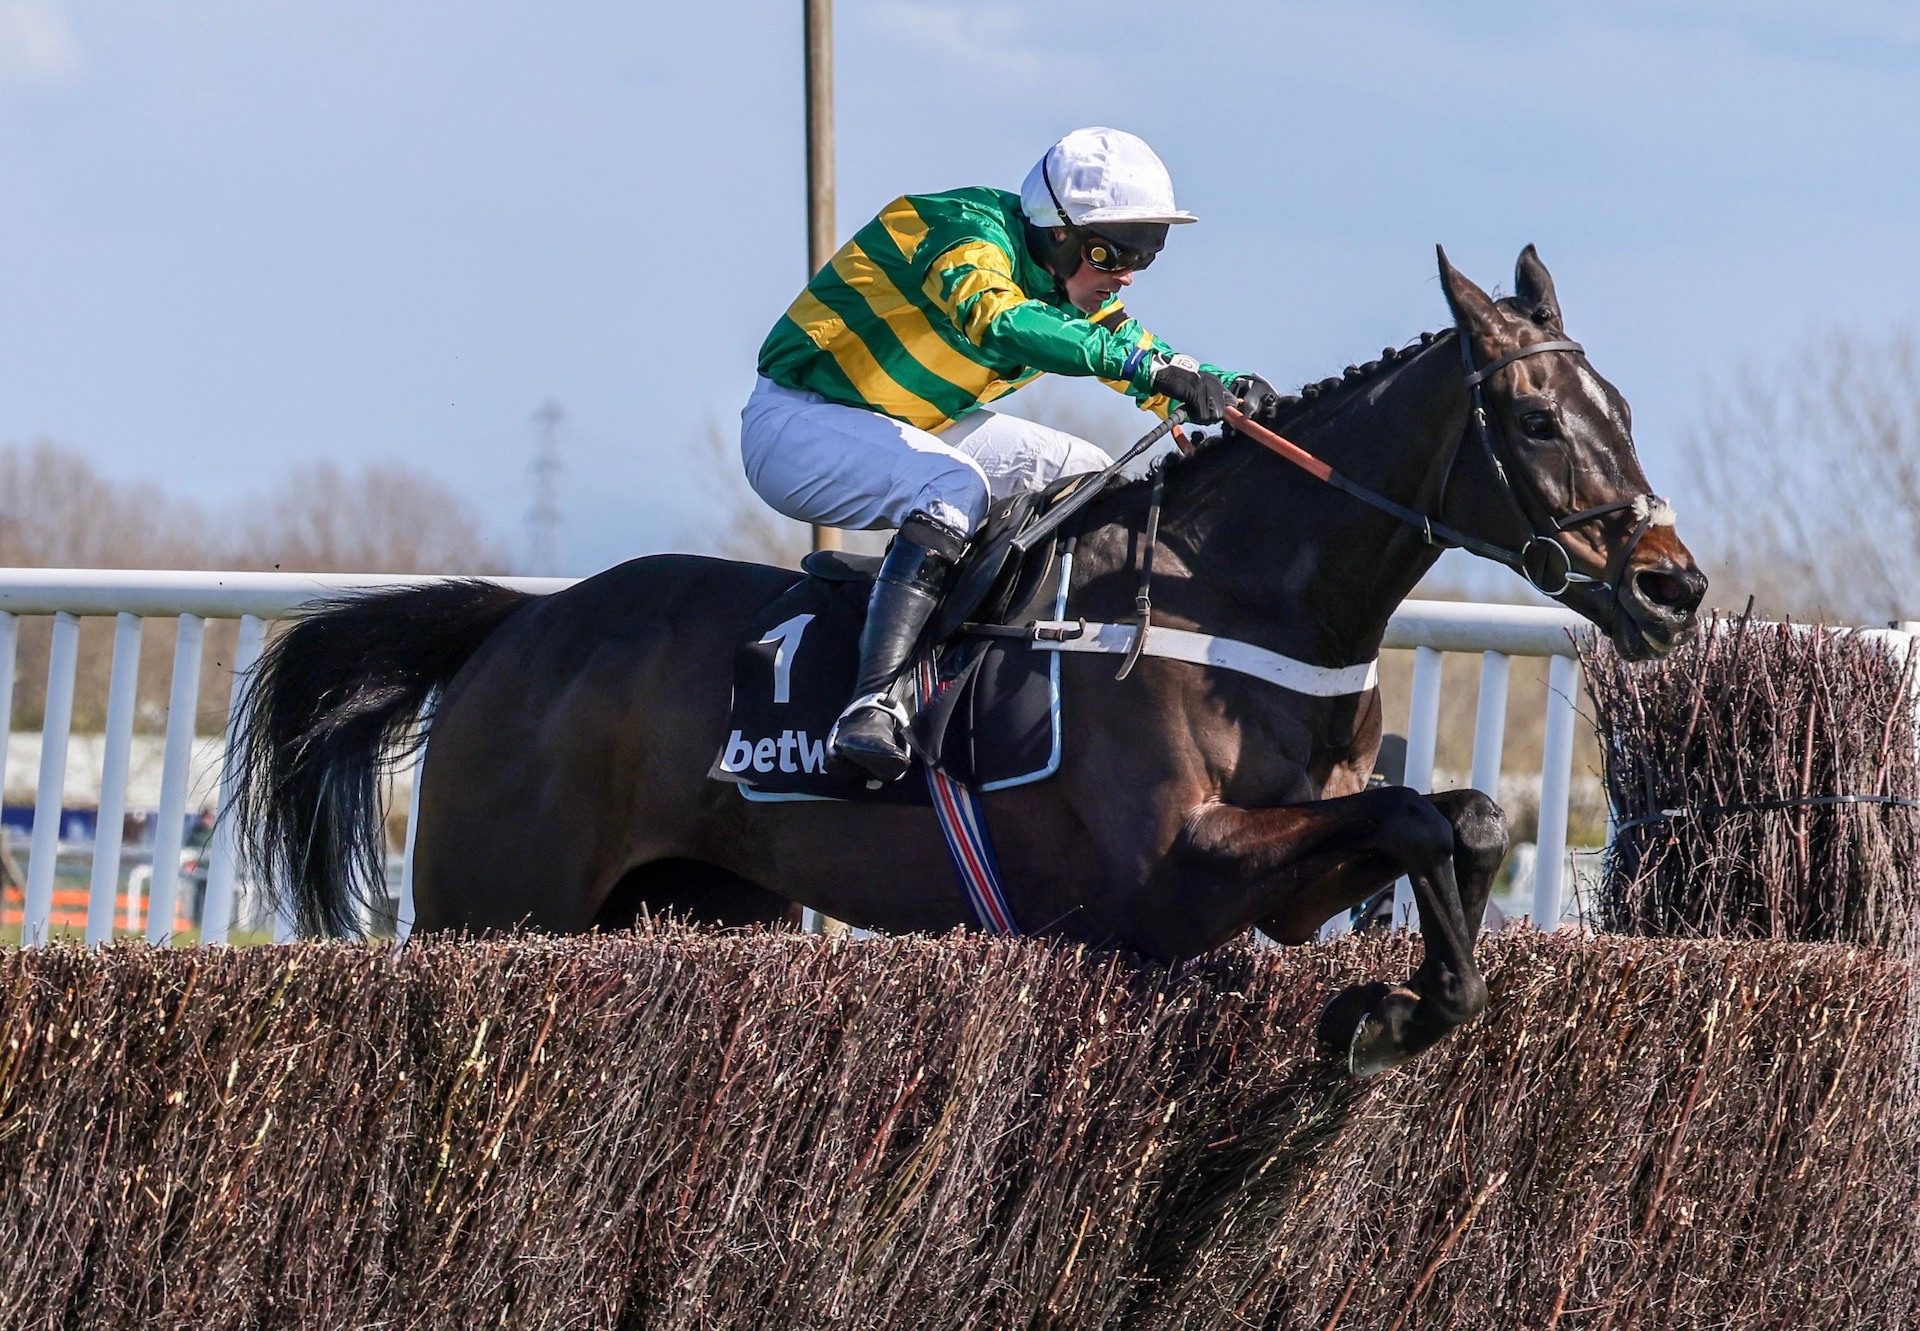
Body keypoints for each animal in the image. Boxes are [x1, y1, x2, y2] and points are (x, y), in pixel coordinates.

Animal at [232, 249, 1704, 1075]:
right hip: (494, 904)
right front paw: (1390, 1016)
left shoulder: (1282, 875)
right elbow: (1416, 814)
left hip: (702, 904)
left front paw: (1400, 1009)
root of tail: (516, 626)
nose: (1672, 585)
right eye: (1537, 419)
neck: (1239, 591)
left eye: (1628, 408)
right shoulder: (1169, 876)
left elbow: (1460, 815)